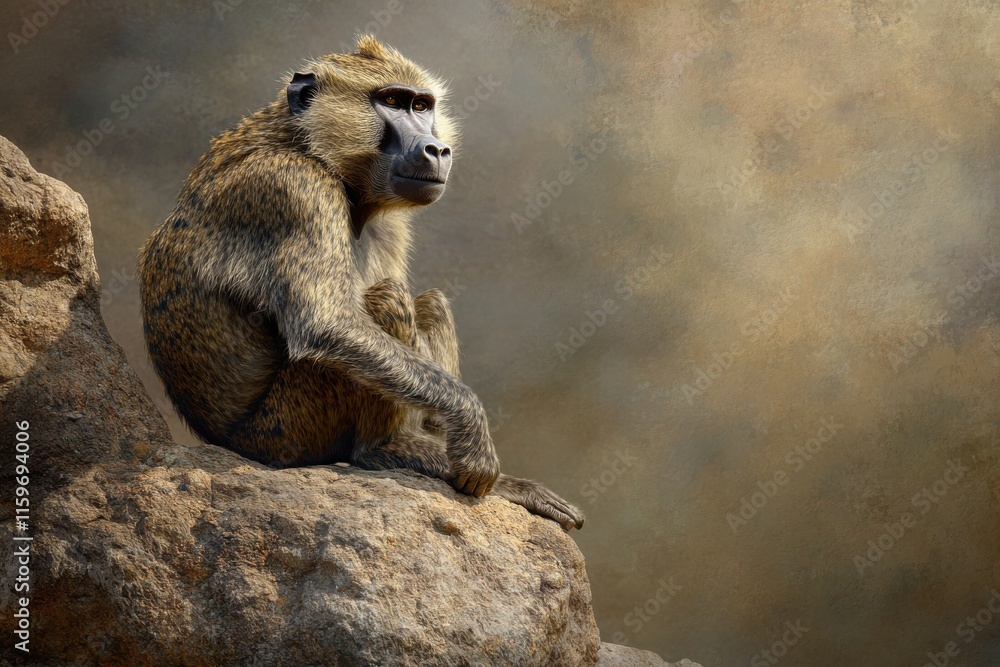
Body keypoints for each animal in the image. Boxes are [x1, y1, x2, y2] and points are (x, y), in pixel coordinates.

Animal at [137, 36, 584, 530]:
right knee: (385, 301)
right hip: (286, 432)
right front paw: (470, 430)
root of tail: (229, 441)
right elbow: (327, 324)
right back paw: (385, 450)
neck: (308, 146)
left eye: (421, 105)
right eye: (391, 102)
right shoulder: (295, 190)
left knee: (426, 302)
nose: (437, 149)